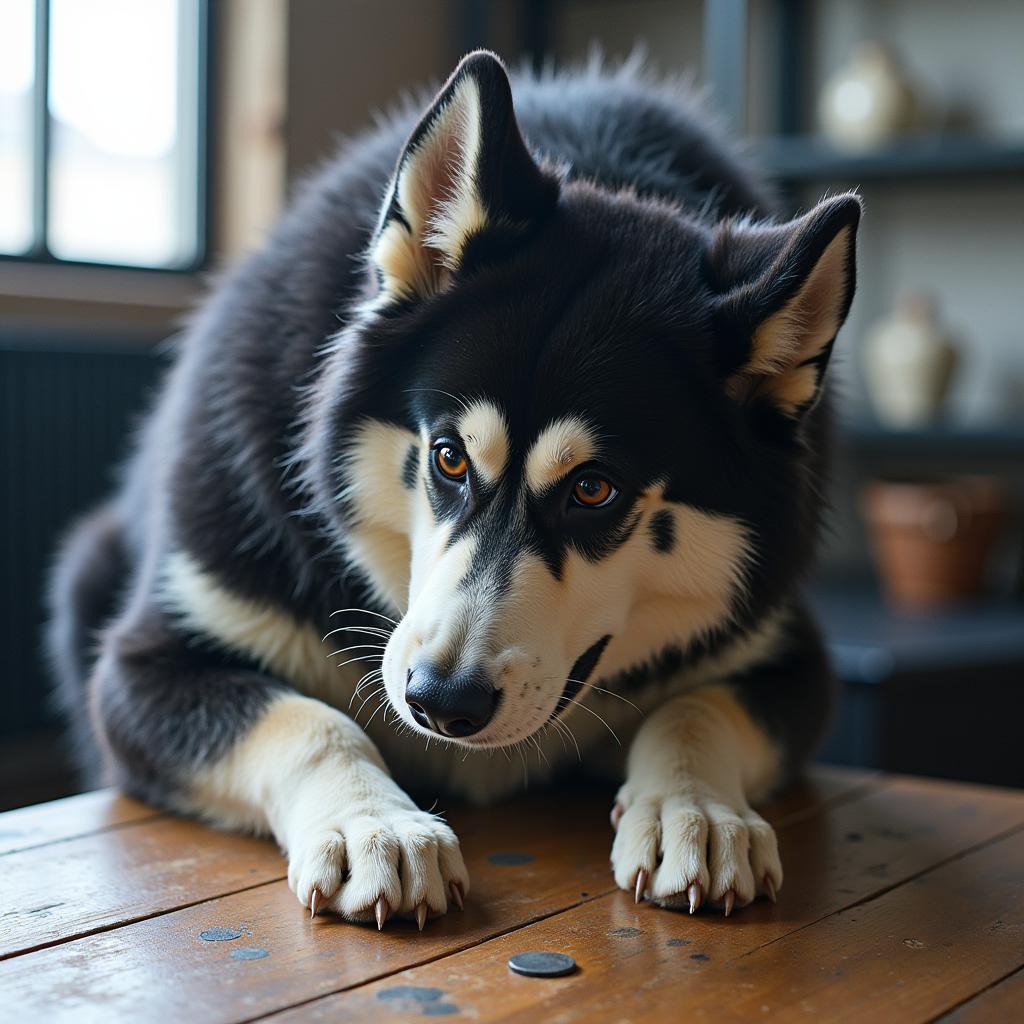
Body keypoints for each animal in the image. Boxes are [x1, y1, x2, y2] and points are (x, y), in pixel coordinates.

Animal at [51, 49, 860, 929]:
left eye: (595, 491)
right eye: (448, 458)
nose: (442, 700)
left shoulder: (786, 659)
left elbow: (695, 709)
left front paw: (696, 812)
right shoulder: (147, 668)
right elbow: (309, 719)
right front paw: (374, 824)